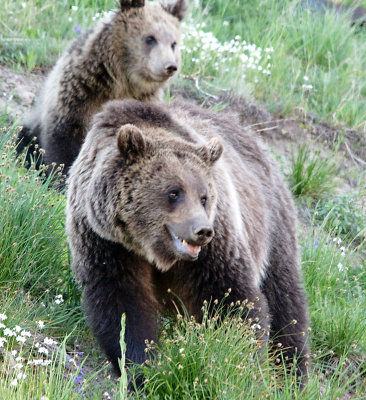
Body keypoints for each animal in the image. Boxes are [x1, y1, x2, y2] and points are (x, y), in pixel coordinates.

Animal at [16, 0, 189, 178]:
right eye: (150, 38)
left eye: (173, 43)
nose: (169, 66)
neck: (123, 81)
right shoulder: (80, 93)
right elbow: (64, 141)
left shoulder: (144, 103)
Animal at [66, 98, 312, 382]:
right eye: (174, 192)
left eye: (204, 196)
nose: (202, 230)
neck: (149, 248)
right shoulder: (106, 242)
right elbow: (122, 306)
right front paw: (140, 368)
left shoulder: (215, 248)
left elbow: (232, 297)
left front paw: (233, 358)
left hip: (271, 226)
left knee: (285, 299)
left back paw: (292, 372)